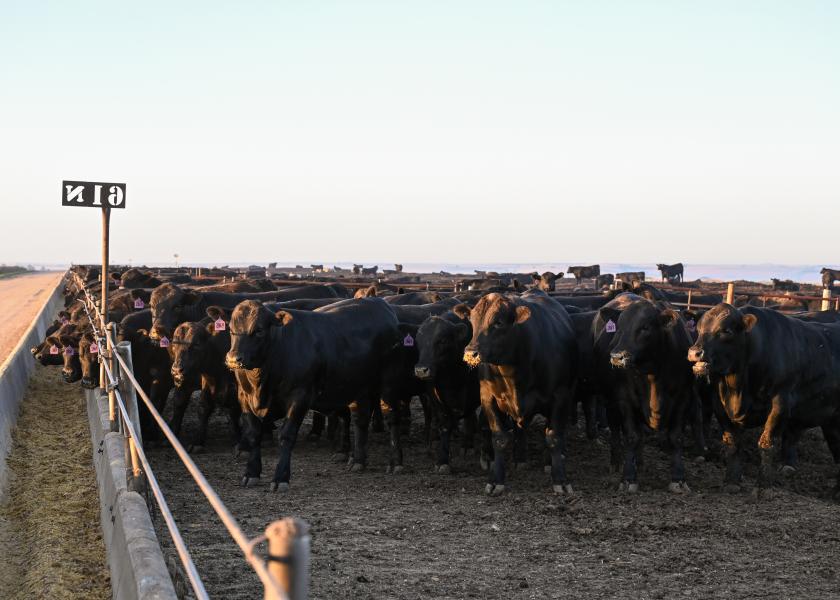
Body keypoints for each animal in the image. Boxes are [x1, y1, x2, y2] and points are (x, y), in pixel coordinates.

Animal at [460, 292, 576, 496]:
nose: (470, 353)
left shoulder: (561, 396)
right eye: (472, 321)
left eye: (498, 322)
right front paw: (496, 480)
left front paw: (560, 479)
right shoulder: (488, 397)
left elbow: (554, 437)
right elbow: (499, 438)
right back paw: (520, 457)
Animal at [684, 304, 840, 496]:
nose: (695, 352)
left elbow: (766, 444)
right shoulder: (719, 405)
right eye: (698, 329)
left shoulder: (780, 404)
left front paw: (764, 486)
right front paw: (732, 481)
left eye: (726, 331)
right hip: (832, 423)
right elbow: (732, 443)